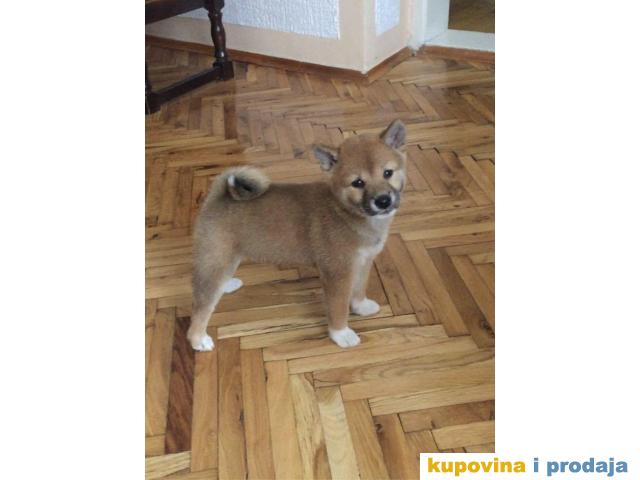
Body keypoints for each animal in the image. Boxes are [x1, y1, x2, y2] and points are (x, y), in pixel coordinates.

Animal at [188, 119, 407, 351]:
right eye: (358, 183)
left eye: (388, 173)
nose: (383, 201)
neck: (344, 211)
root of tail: (218, 196)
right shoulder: (337, 274)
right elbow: (338, 308)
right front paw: (341, 334)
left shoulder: (363, 262)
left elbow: (359, 289)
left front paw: (361, 306)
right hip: (217, 256)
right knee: (202, 305)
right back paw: (198, 339)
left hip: (228, 255)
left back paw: (226, 285)